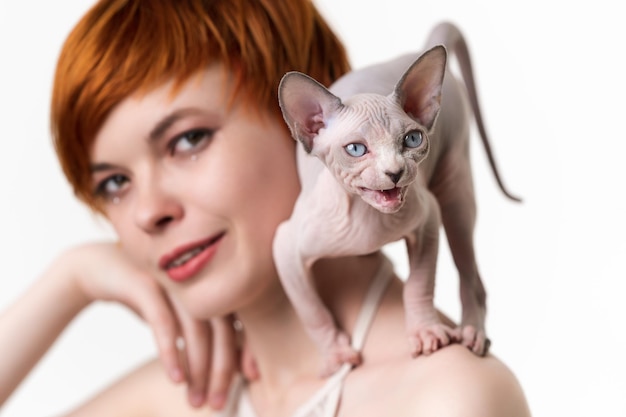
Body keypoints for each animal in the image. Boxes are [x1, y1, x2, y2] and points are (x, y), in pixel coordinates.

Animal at [270, 21, 520, 376]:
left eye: (412, 139)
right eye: (356, 149)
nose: (395, 172)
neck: (368, 219)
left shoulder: (428, 218)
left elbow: (419, 285)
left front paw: (425, 332)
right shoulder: (286, 247)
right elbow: (312, 312)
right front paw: (335, 355)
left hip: (455, 190)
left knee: (471, 275)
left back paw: (472, 331)